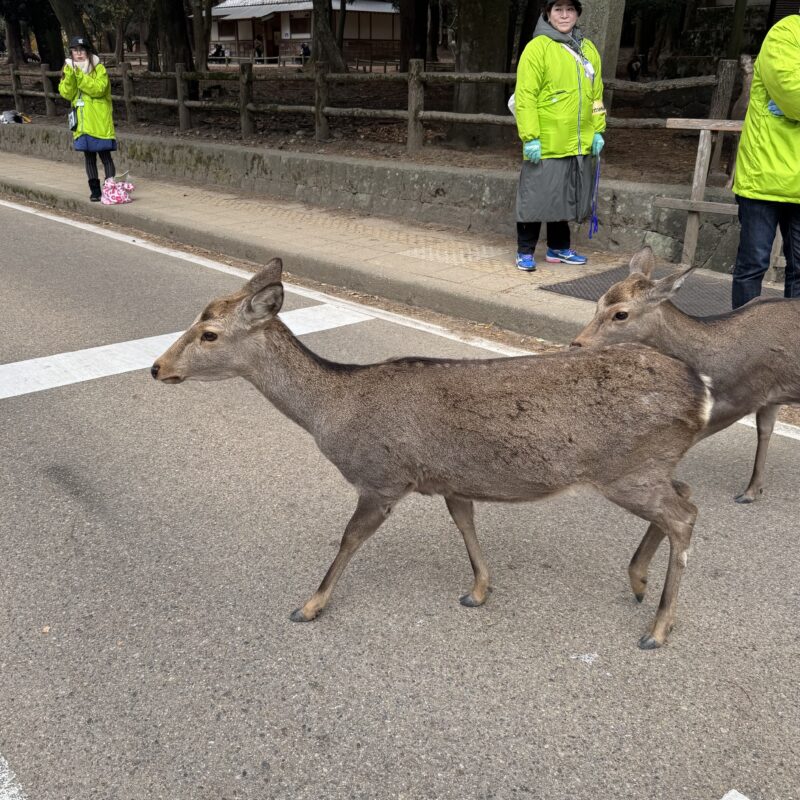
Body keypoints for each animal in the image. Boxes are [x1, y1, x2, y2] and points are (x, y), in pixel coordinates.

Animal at [150, 260, 712, 648]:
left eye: (209, 333)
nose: (157, 367)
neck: (332, 413)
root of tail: (701, 390)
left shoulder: (381, 477)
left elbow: (349, 539)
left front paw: (308, 606)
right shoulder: (449, 478)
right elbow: (465, 523)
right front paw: (479, 589)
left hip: (627, 469)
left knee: (684, 514)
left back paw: (657, 627)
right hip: (649, 466)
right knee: (683, 493)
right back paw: (638, 581)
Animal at [568, 247, 800, 504]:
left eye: (621, 314)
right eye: (598, 303)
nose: (577, 344)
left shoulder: (746, 394)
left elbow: (696, 435)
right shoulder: (771, 395)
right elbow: (764, 432)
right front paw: (753, 491)